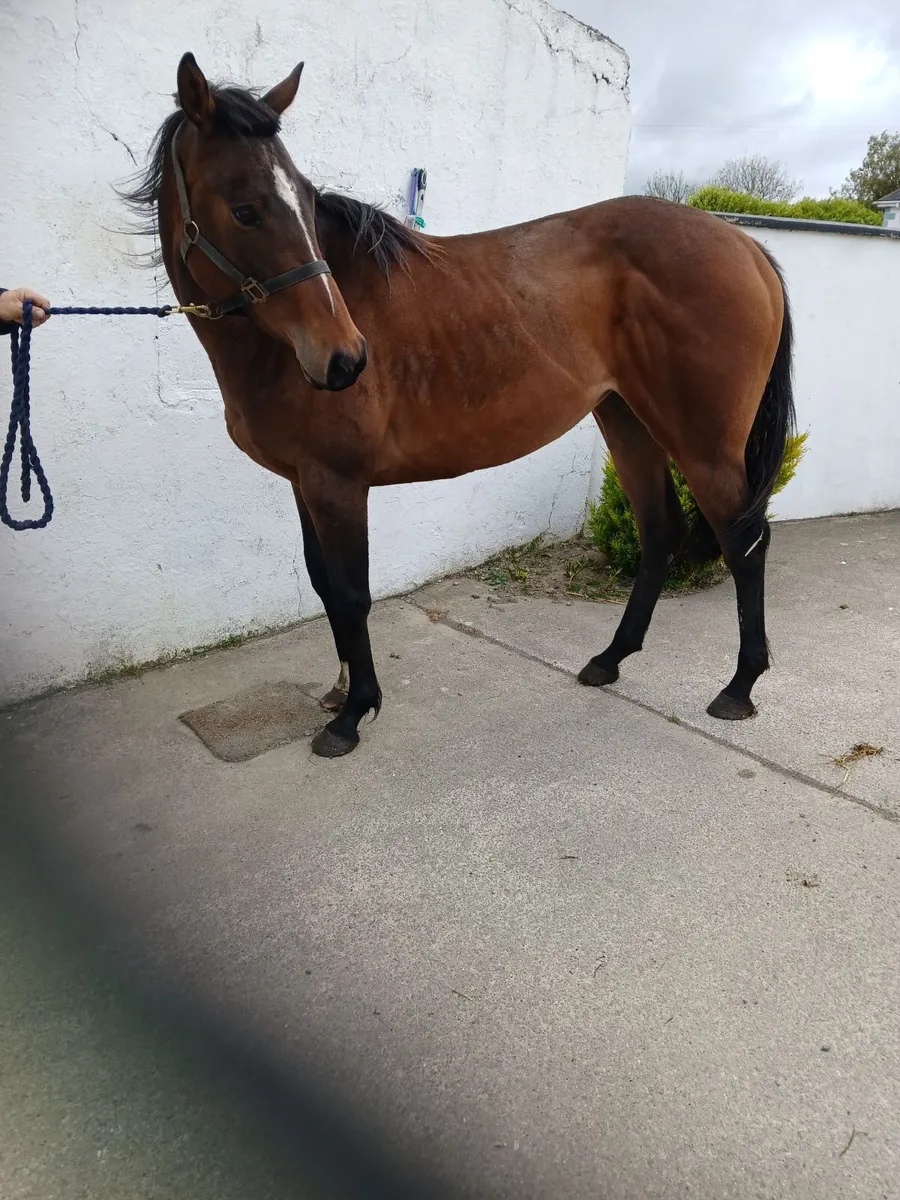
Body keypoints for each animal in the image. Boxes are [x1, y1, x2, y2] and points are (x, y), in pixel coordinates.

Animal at [122, 52, 795, 758]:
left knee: (743, 539)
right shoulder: (304, 482)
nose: (345, 359)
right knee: (661, 528)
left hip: (703, 441)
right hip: (627, 418)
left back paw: (739, 687)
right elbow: (324, 585)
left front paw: (353, 713)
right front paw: (339, 691)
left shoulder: (338, 483)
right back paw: (609, 659)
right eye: (246, 210)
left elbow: (352, 594)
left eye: (303, 199)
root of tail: (745, 246)